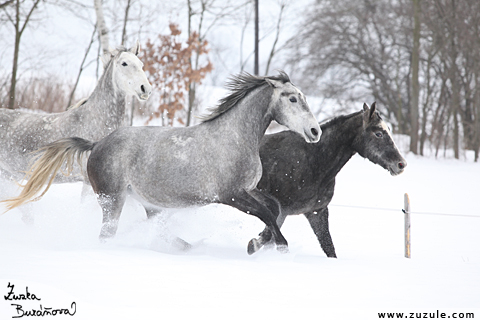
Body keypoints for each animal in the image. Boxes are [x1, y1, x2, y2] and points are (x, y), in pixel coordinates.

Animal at [3, 72, 320, 252]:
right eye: (293, 99)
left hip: (149, 204)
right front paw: (277, 246)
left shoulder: (249, 190)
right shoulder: (230, 194)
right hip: (112, 200)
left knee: (160, 233)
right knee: (107, 236)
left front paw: (258, 243)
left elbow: (273, 209)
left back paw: (188, 246)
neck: (234, 137)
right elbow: (265, 213)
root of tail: (97, 145)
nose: (315, 131)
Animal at [249, 102, 406, 258]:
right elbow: (269, 234)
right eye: (378, 133)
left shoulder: (317, 213)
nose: (401, 164)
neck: (311, 162)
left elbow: (329, 247)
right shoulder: (281, 210)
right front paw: (253, 244)